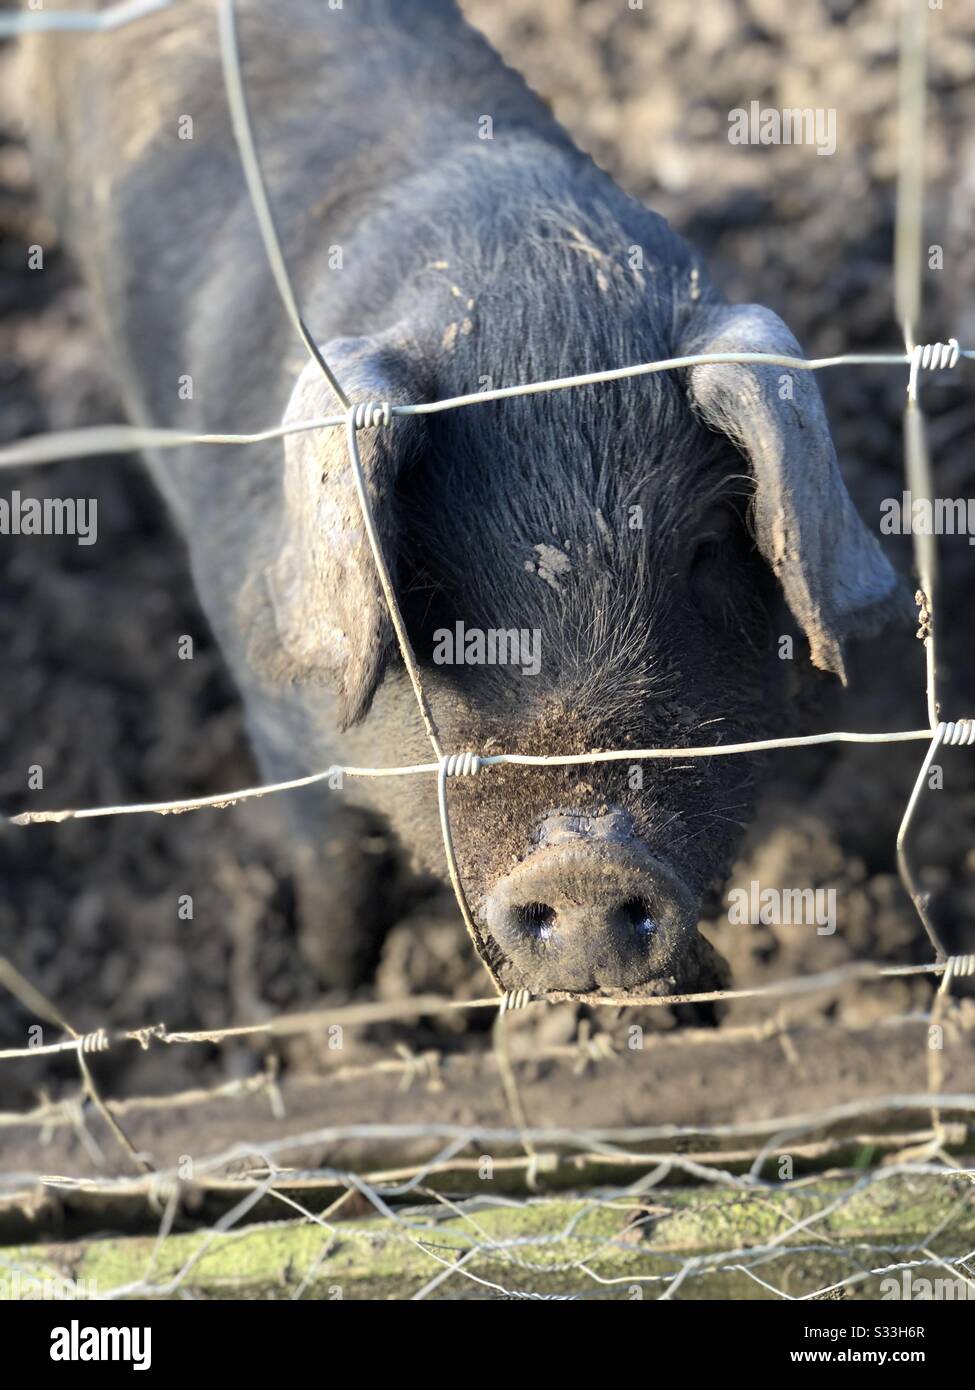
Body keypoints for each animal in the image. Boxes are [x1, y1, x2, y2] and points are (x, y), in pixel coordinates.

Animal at [22, 0, 901, 1000]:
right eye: (422, 568)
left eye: (707, 551)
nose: (585, 861)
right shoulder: (272, 697)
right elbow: (333, 866)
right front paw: (336, 983)